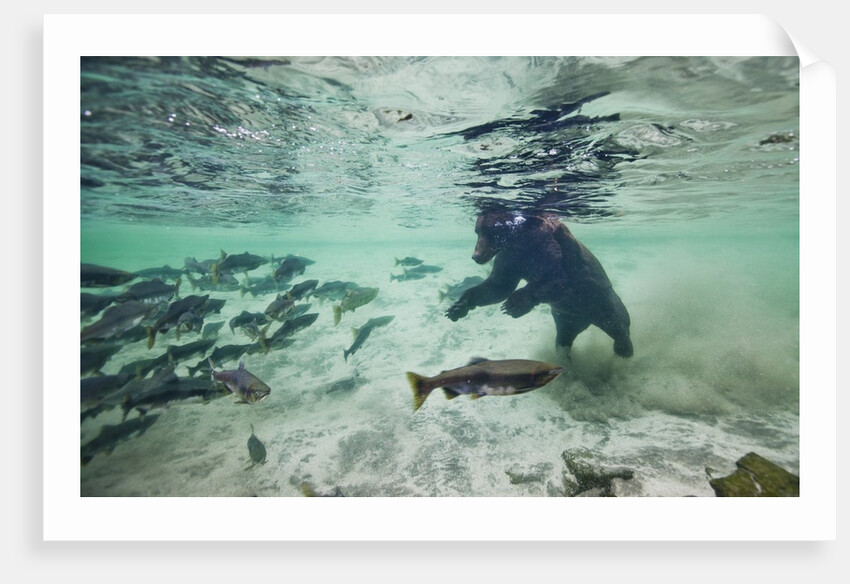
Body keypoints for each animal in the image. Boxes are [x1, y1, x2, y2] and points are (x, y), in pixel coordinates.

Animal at [445, 211, 633, 358]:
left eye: (489, 231)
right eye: (477, 231)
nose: (476, 256)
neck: (519, 239)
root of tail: (587, 321)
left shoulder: (547, 246)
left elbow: (558, 279)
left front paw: (514, 304)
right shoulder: (510, 257)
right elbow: (498, 285)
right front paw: (457, 307)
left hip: (601, 301)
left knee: (619, 325)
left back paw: (624, 350)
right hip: (566, 317)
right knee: (563, 340)